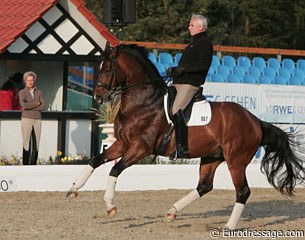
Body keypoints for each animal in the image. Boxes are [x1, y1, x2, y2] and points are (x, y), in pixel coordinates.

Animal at [67, 44, 304, 230]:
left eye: (108, 68)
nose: (98, 96)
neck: (142, 102)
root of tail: (255, 121)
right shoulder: (123, 143)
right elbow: (96, 160)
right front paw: (73, 190)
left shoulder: (141, 148)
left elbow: (115, 169)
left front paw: (110, 206)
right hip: (212, 157)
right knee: (204, 186)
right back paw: (172, 212)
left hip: (236, 161)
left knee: (242, 191)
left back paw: (228, 226)